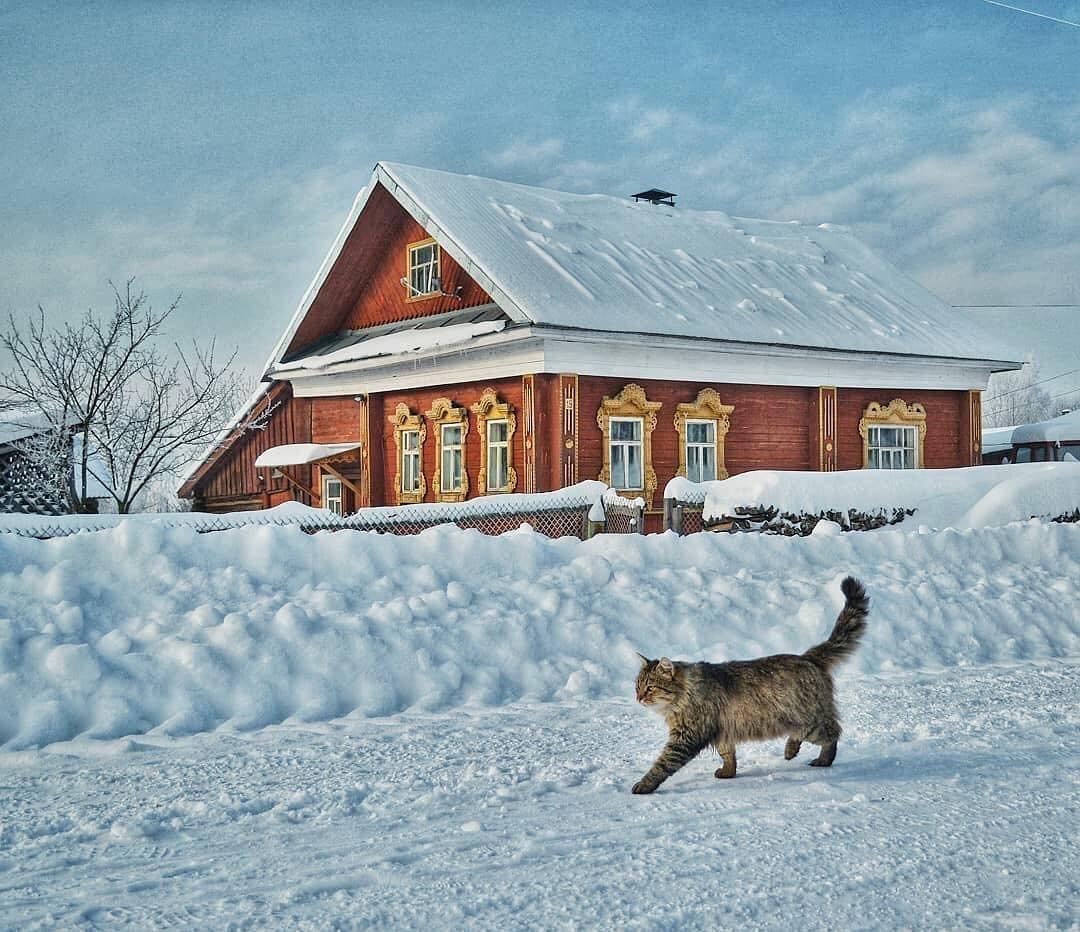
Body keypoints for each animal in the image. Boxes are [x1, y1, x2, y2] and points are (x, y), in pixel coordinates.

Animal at [630, 574, 868, 794]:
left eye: (650, 687)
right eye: (637, 686)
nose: (638, 698)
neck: (682, 696)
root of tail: (807, 657)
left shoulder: (687, 736)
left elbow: (662, 764)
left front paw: (644, 785)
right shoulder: (722, 732)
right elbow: (728, 755)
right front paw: (728, 772)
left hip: (810, 721)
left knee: (833, 733)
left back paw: (823, 759)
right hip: (799, 720)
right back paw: (790, 750)